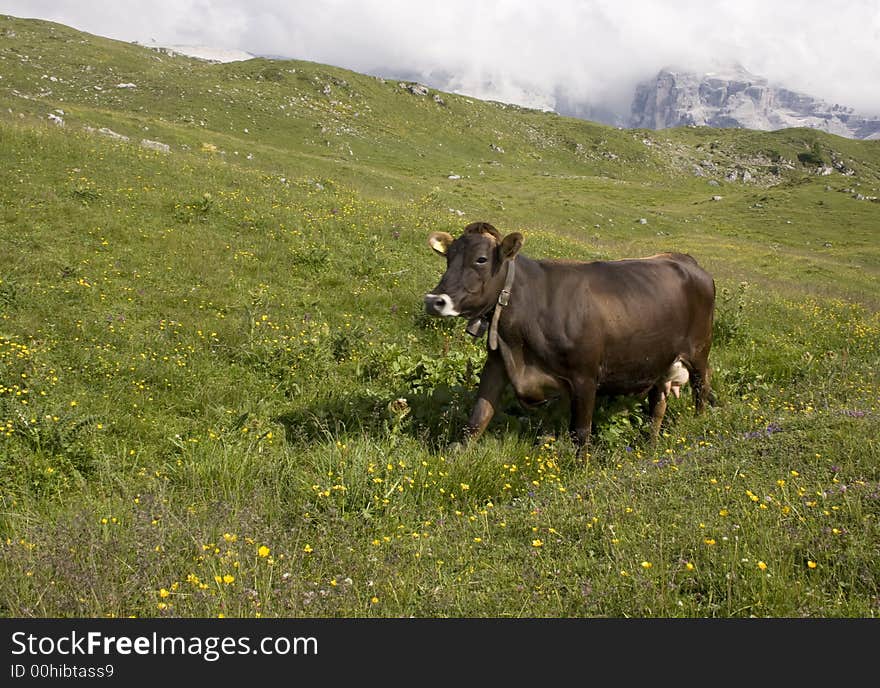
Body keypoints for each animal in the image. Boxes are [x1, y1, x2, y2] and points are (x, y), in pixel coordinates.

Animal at [424, 223, 716, 454]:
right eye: (449, 257)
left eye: (481, 259)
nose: (434, 300)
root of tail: (684, 259)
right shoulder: (497, 363)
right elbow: (478, 416)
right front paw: (456, 456)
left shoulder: (585, 377)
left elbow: (581, 432)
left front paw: (581, 469)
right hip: (660, 360)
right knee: (657, 406)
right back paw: (649, 445)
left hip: (699, 350)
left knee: (701, 389)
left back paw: (699, 426)